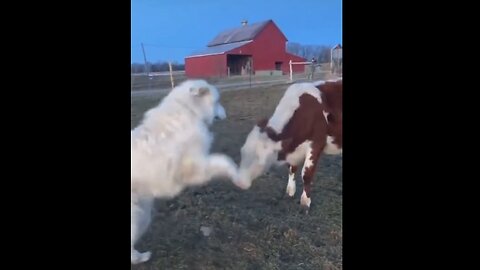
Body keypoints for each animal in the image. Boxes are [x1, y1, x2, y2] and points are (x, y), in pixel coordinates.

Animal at [131, 79, 238, 264]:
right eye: (217, 102)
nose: (226, 113)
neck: (189, 111)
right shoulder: (191, 168)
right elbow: (223, 160)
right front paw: (238, 174)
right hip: (138, 217)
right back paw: (141, 257)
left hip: (143, 214)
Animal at [233, 80, 342, 209]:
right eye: (242, 152)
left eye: (258, 158)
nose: (239, 181)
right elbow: (291, 169)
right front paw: (290, 191)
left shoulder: (316, 144)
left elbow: (306, 174)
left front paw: (305, 201)